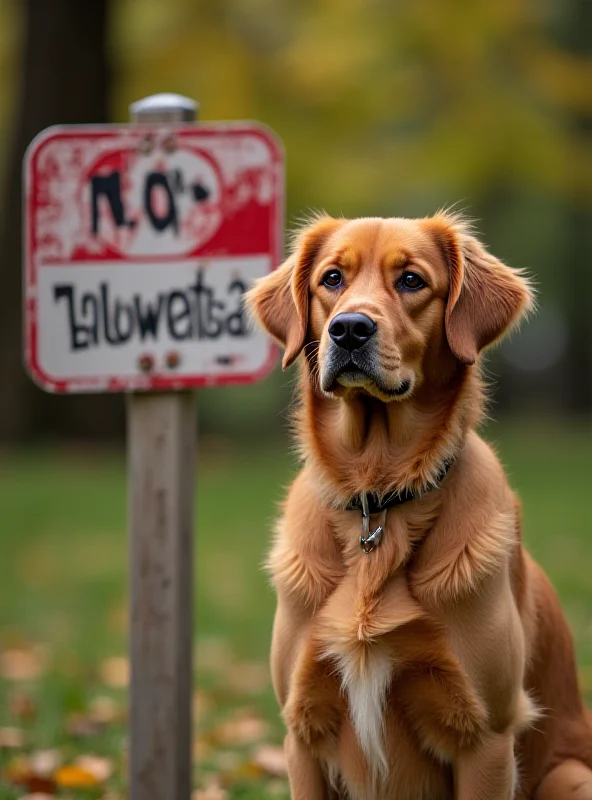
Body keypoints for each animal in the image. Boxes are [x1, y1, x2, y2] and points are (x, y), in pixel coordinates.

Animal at [244, 212, 592, 800]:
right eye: (332, 278)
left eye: (411, 281)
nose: (349, 329)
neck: (378, 497)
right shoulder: (302, 735)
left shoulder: (486, 737)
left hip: (569, 776)